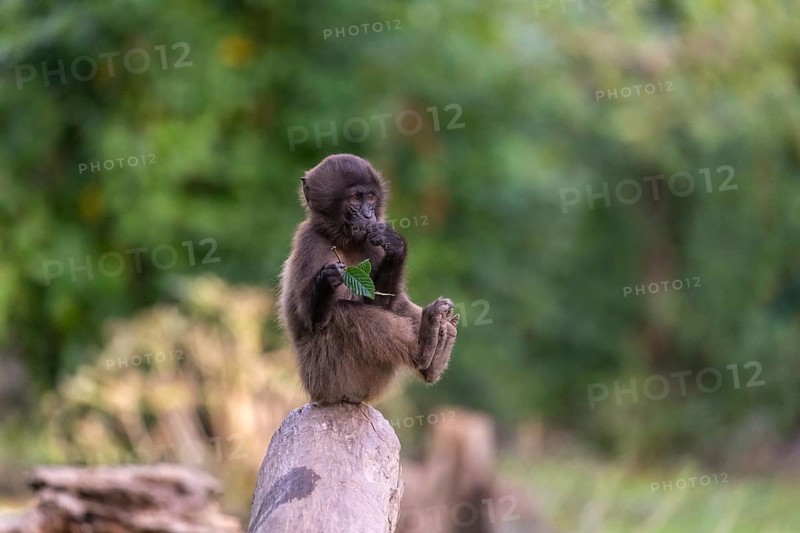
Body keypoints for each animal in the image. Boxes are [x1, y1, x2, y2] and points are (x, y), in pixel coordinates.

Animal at [278, 154, 459, 404]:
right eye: (355, 198)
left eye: (370, 197)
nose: (367, 215)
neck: (341, 240)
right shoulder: (310, 242)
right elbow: (312, 321)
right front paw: (326, 280)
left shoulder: (370, 242)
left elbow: (383, 302)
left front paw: (395, 246)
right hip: (326, 381)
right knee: (341, 313)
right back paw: (425, 349)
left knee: (392, 306)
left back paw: (435, 349)